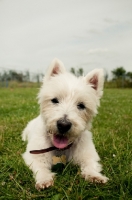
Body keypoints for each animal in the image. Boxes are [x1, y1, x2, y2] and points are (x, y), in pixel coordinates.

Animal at [21, 58, 108, 190]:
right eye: (54, 100)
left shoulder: (87, 153)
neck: (59, 148)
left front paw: (94, 176)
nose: (63, 125)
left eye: (81, 105)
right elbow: (40, 168)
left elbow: (90, 164)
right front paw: (44, 179)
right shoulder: (35, 155)